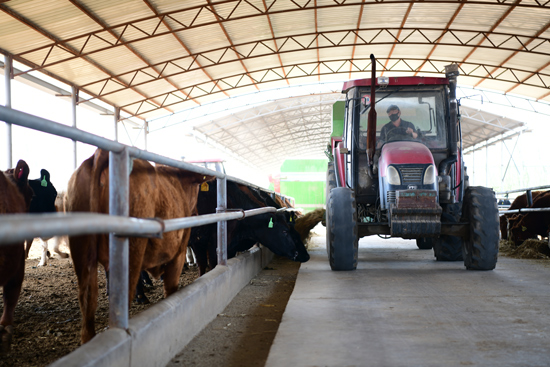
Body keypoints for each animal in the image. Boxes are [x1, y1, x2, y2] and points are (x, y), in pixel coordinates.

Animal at [68, 150, 215, 344]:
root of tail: (101, 153)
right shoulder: (179, 253)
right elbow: (170, 290)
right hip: (130, 254)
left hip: (83, 255)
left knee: (87, 308)